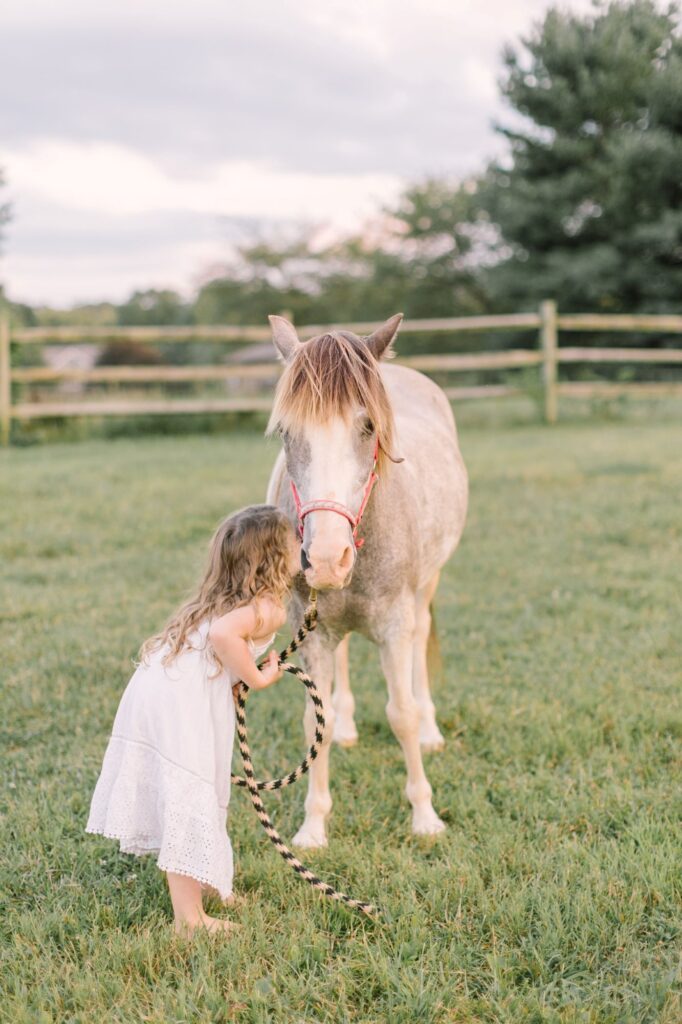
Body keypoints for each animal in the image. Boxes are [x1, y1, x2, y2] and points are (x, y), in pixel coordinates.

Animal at [265, 313, 468, 848]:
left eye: (369, 426)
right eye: (286, 432)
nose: (325, 559)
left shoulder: (395, 625)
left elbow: (401, 714)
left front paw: (425, 817)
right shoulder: (312, 630)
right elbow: (316, 722)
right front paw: (313, 828)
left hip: (426, 587)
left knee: (421, 643)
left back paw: (432, 733)